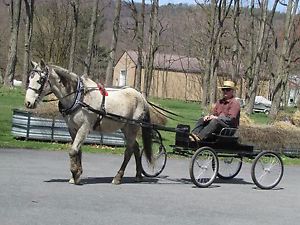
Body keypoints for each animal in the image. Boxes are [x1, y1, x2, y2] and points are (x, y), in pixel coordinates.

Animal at [24, 59, 154, 185]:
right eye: (29, 79)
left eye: (40, 80)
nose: (28, 103)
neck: (79, 97)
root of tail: (141, 97)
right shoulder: (72, 128)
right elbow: (78, 150)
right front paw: (76, 175)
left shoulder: (85, 127)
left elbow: (73, 150)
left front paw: (75, 173)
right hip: (125, 127)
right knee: (135, 147)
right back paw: (138, 175)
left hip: (132, 127)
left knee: (129, 150)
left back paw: (118, 177)